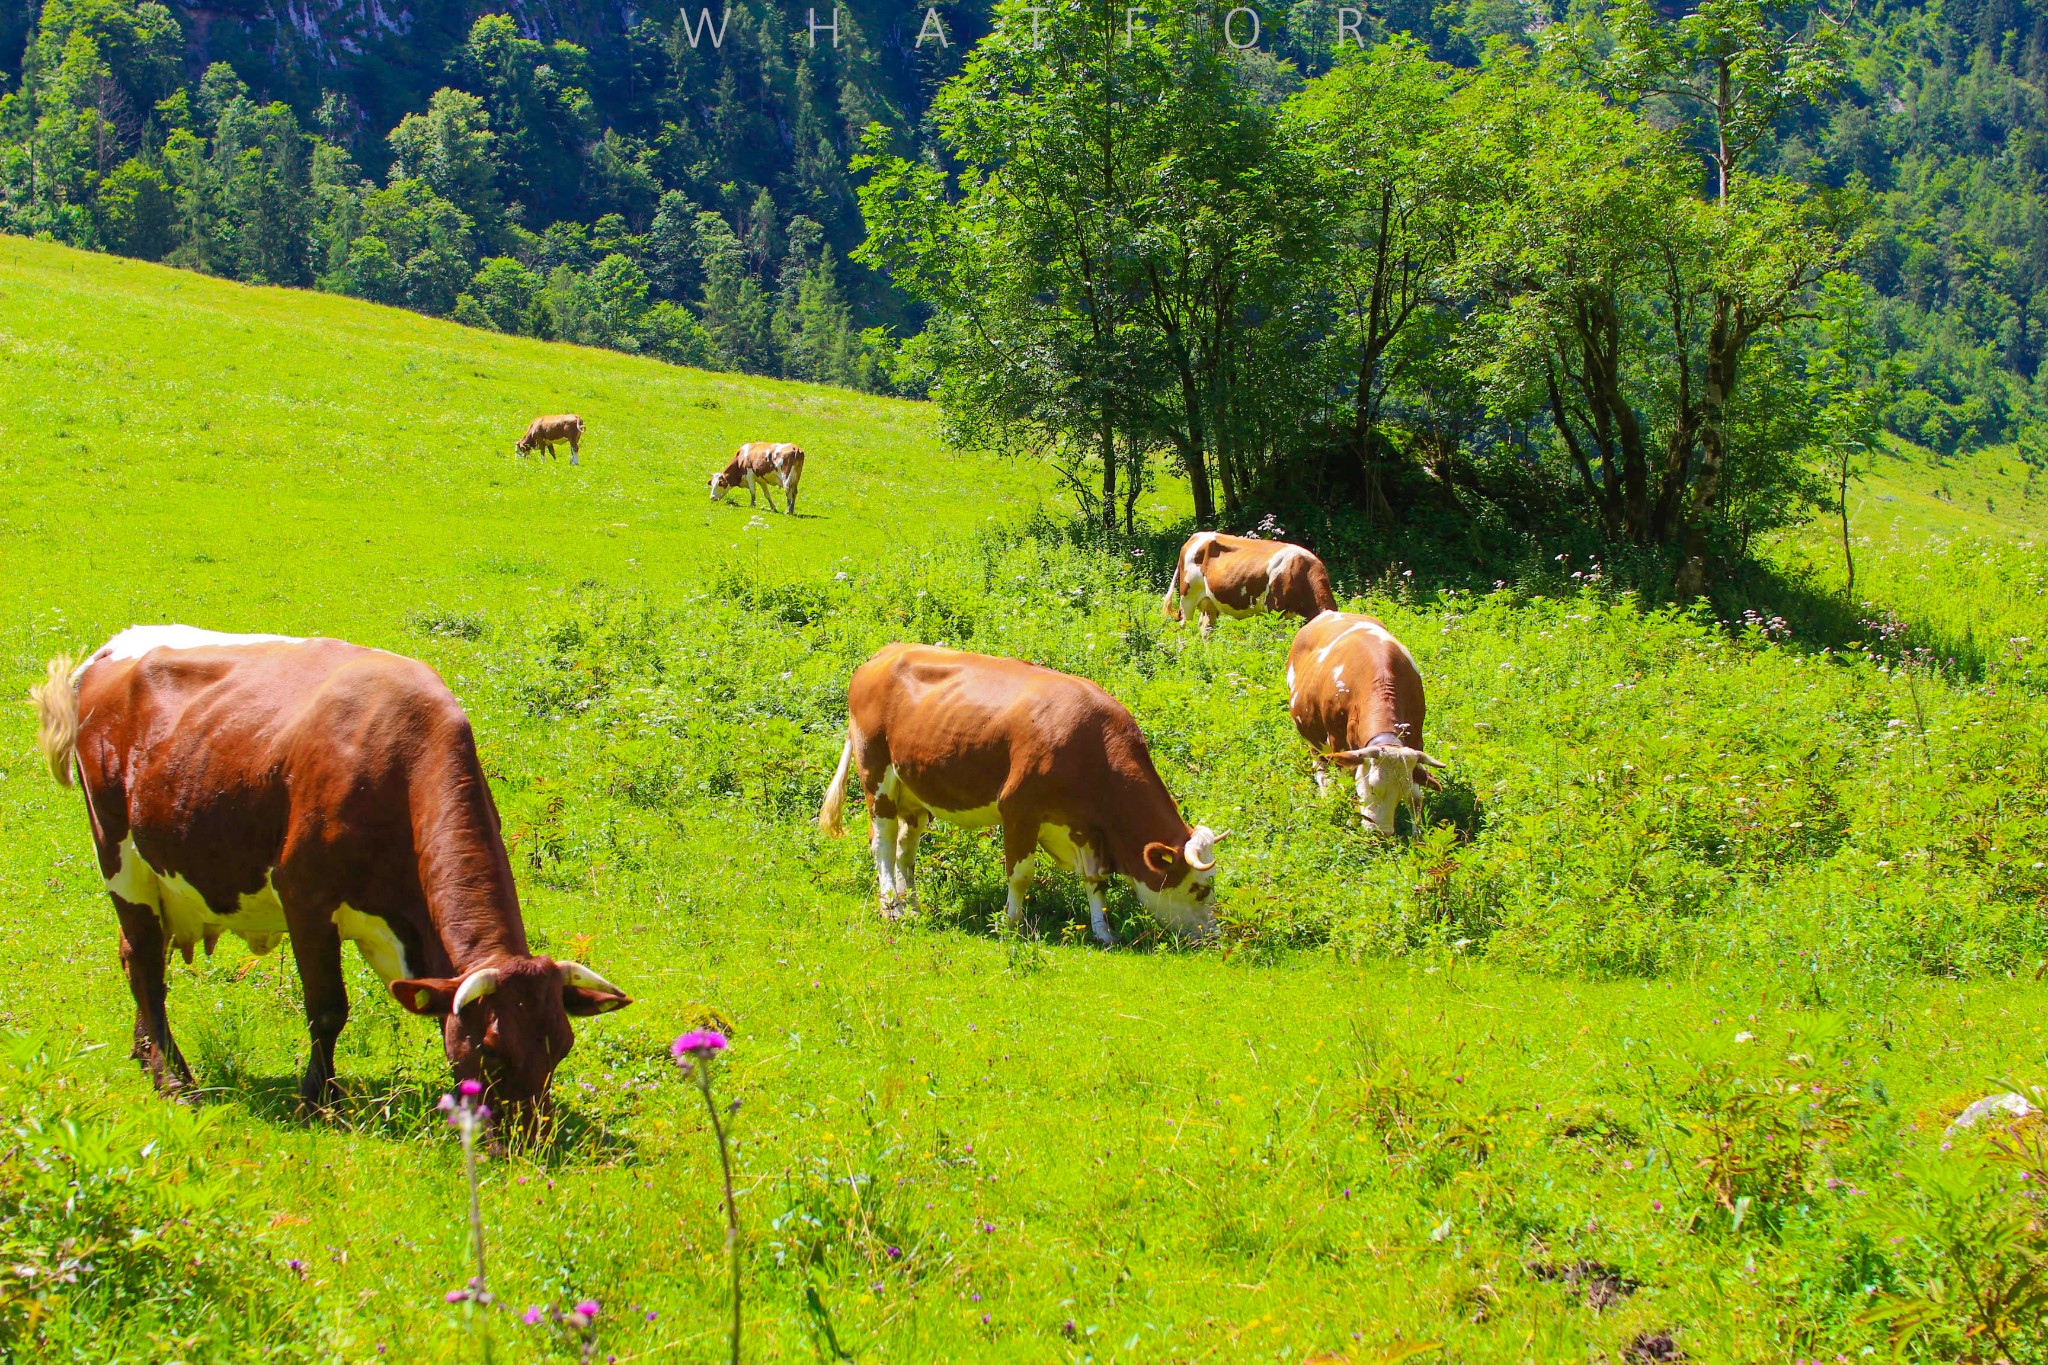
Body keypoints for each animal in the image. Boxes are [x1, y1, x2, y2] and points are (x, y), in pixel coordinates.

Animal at [28, 630, 626, 1121]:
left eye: (562, 1047)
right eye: (493, 1051)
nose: (531, 1141)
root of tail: (110, 650)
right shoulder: (305, 899)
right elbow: (327, 1009)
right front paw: (318, 1100)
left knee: (138, 956)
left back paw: (145, 1051)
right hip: (119, 854)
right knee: (146, 963)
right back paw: (173, 1078)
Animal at [819, 646, 1228, 945]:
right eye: (1199, 889)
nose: (1213, 938)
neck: (1094, 744)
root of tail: (883, 654)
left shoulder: (1085, 825)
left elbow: (1095, 880)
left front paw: (1103, 933)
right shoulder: (1019, 810)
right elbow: (1019, 875)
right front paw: (1011, 924)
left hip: (915, 792)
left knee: (905, 848)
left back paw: (914, 906)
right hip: (876, 775)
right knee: (883, 844)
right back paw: (892, 908)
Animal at [1171, 532, 1343, 642]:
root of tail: (1197, 535)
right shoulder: (1276, 613)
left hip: (1209, 601)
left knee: (1206, 628)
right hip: (1187, 597)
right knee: (1183, 627)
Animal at [1286, 618, 1449, 834]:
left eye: (1401, 793)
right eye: (1372, 787)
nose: (1381, 833)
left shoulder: (1415, 739)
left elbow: (1416, 797)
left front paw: (1419, 835)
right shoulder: (1339, 744)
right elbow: (1348, 784)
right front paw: (1351, 822)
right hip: (1312, 737)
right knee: (1320, 766)